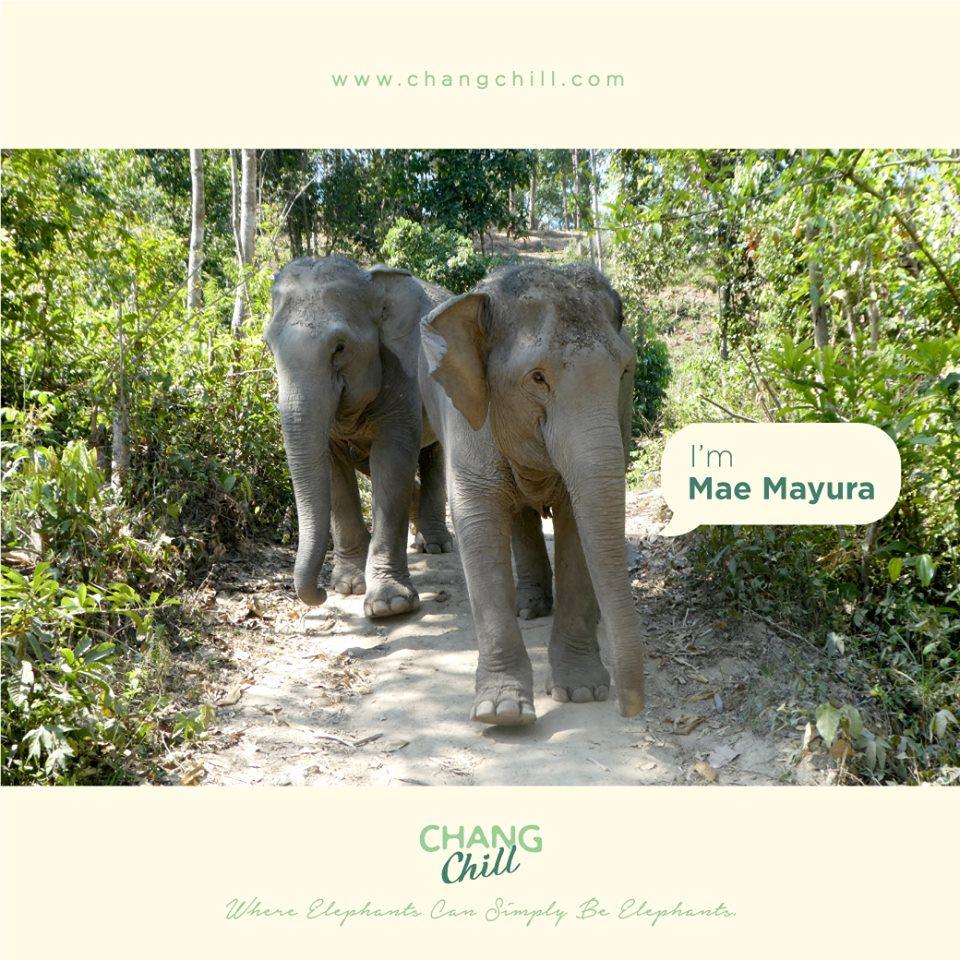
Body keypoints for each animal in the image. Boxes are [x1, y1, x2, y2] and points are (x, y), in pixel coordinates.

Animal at [266, 256, 454, 618]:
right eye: (269, 346)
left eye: (340, 348)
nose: (321, 593)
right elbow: (332, 469)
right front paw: (349, 587)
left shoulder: (404, 374)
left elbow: (392, 462)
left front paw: (390, 606)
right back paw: (420, 537)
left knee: (434, 455)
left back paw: (439, 544)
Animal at [419, 263, 644, 725]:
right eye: (537, 378)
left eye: (624, 372)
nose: (629, 707)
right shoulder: (467, 420)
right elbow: (478, 522)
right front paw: (502, 711)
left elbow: (579, 524)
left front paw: (581, 692)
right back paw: (530, 608)